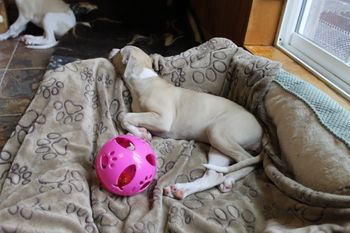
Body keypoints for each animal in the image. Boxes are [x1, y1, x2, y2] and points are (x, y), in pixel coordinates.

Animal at [109, 46, 262, 199]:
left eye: (121, 51)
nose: (113, 49)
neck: (144, 78)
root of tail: (261, 132)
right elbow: (130, 124)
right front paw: (140, 135)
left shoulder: (162, 119)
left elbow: (124, 116)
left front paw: (139, 134)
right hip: (218, 145)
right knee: (214, 176)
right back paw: (181, 190)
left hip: (219, 132)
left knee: (247, 160)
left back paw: (229, 179)